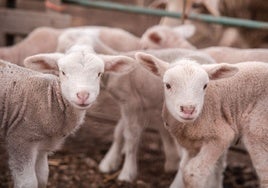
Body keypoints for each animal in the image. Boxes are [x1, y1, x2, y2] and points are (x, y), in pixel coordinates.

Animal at [0, 45, 134, 188]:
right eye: (63, 72)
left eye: (99, 74)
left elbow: (42, 177)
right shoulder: (20, 140)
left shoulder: (43, 146)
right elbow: (28, 182)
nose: (82, 95)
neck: (50, 100)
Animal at [98, 48, 216, 182]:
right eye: (167, 85)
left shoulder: (131, 101)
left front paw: (127, 173)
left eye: (205, 86)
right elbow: (120, 131)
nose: (188, 109)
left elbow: (131, 135)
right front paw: (109, 162)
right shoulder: (135, 105)